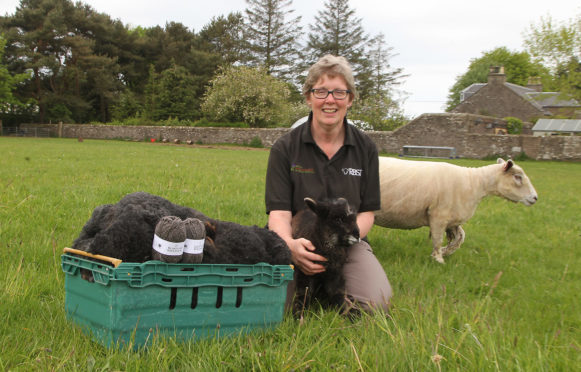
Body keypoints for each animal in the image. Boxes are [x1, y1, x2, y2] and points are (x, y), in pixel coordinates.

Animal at [374, 158, 536, 264]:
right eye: (517, 177)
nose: (535, 198)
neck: (474, 184)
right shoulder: (438, 215)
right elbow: (438, 239)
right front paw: (438, 259)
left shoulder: (453, 218)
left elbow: (460, 238)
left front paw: (446, 251)